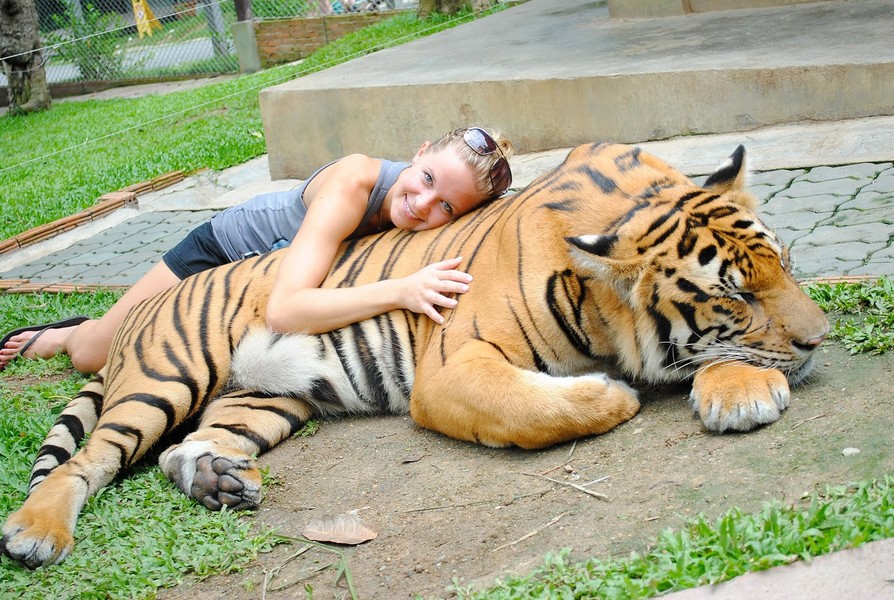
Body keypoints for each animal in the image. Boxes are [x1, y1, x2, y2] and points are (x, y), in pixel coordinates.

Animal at [1, 142, 832, 568]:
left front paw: (739, 388)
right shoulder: (451, 369)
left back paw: (217, 481)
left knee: (194, 445)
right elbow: (531, 409)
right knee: (89, 461)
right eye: (735, 296)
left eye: (785, 265)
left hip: (264, 398)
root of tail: (138, 310)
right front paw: (615, 394)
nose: (819, 340)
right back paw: (36, 534)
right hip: (165, 378)